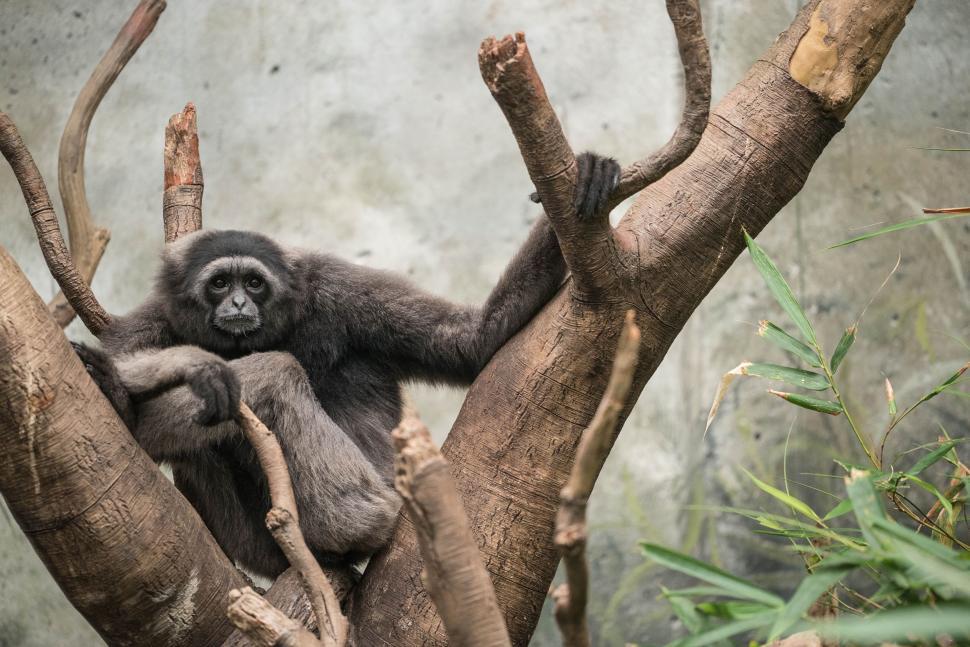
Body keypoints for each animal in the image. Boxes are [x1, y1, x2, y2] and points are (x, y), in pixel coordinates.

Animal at [73, 152, 621, 578]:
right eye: (219, 284)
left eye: (253, 283)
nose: (238, 305)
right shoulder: (158, 316)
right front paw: (163, 372)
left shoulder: (337, 288)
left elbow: (472, 340)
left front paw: (586, 177)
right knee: (197, 447)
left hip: (382, 495)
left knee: (276, 375)